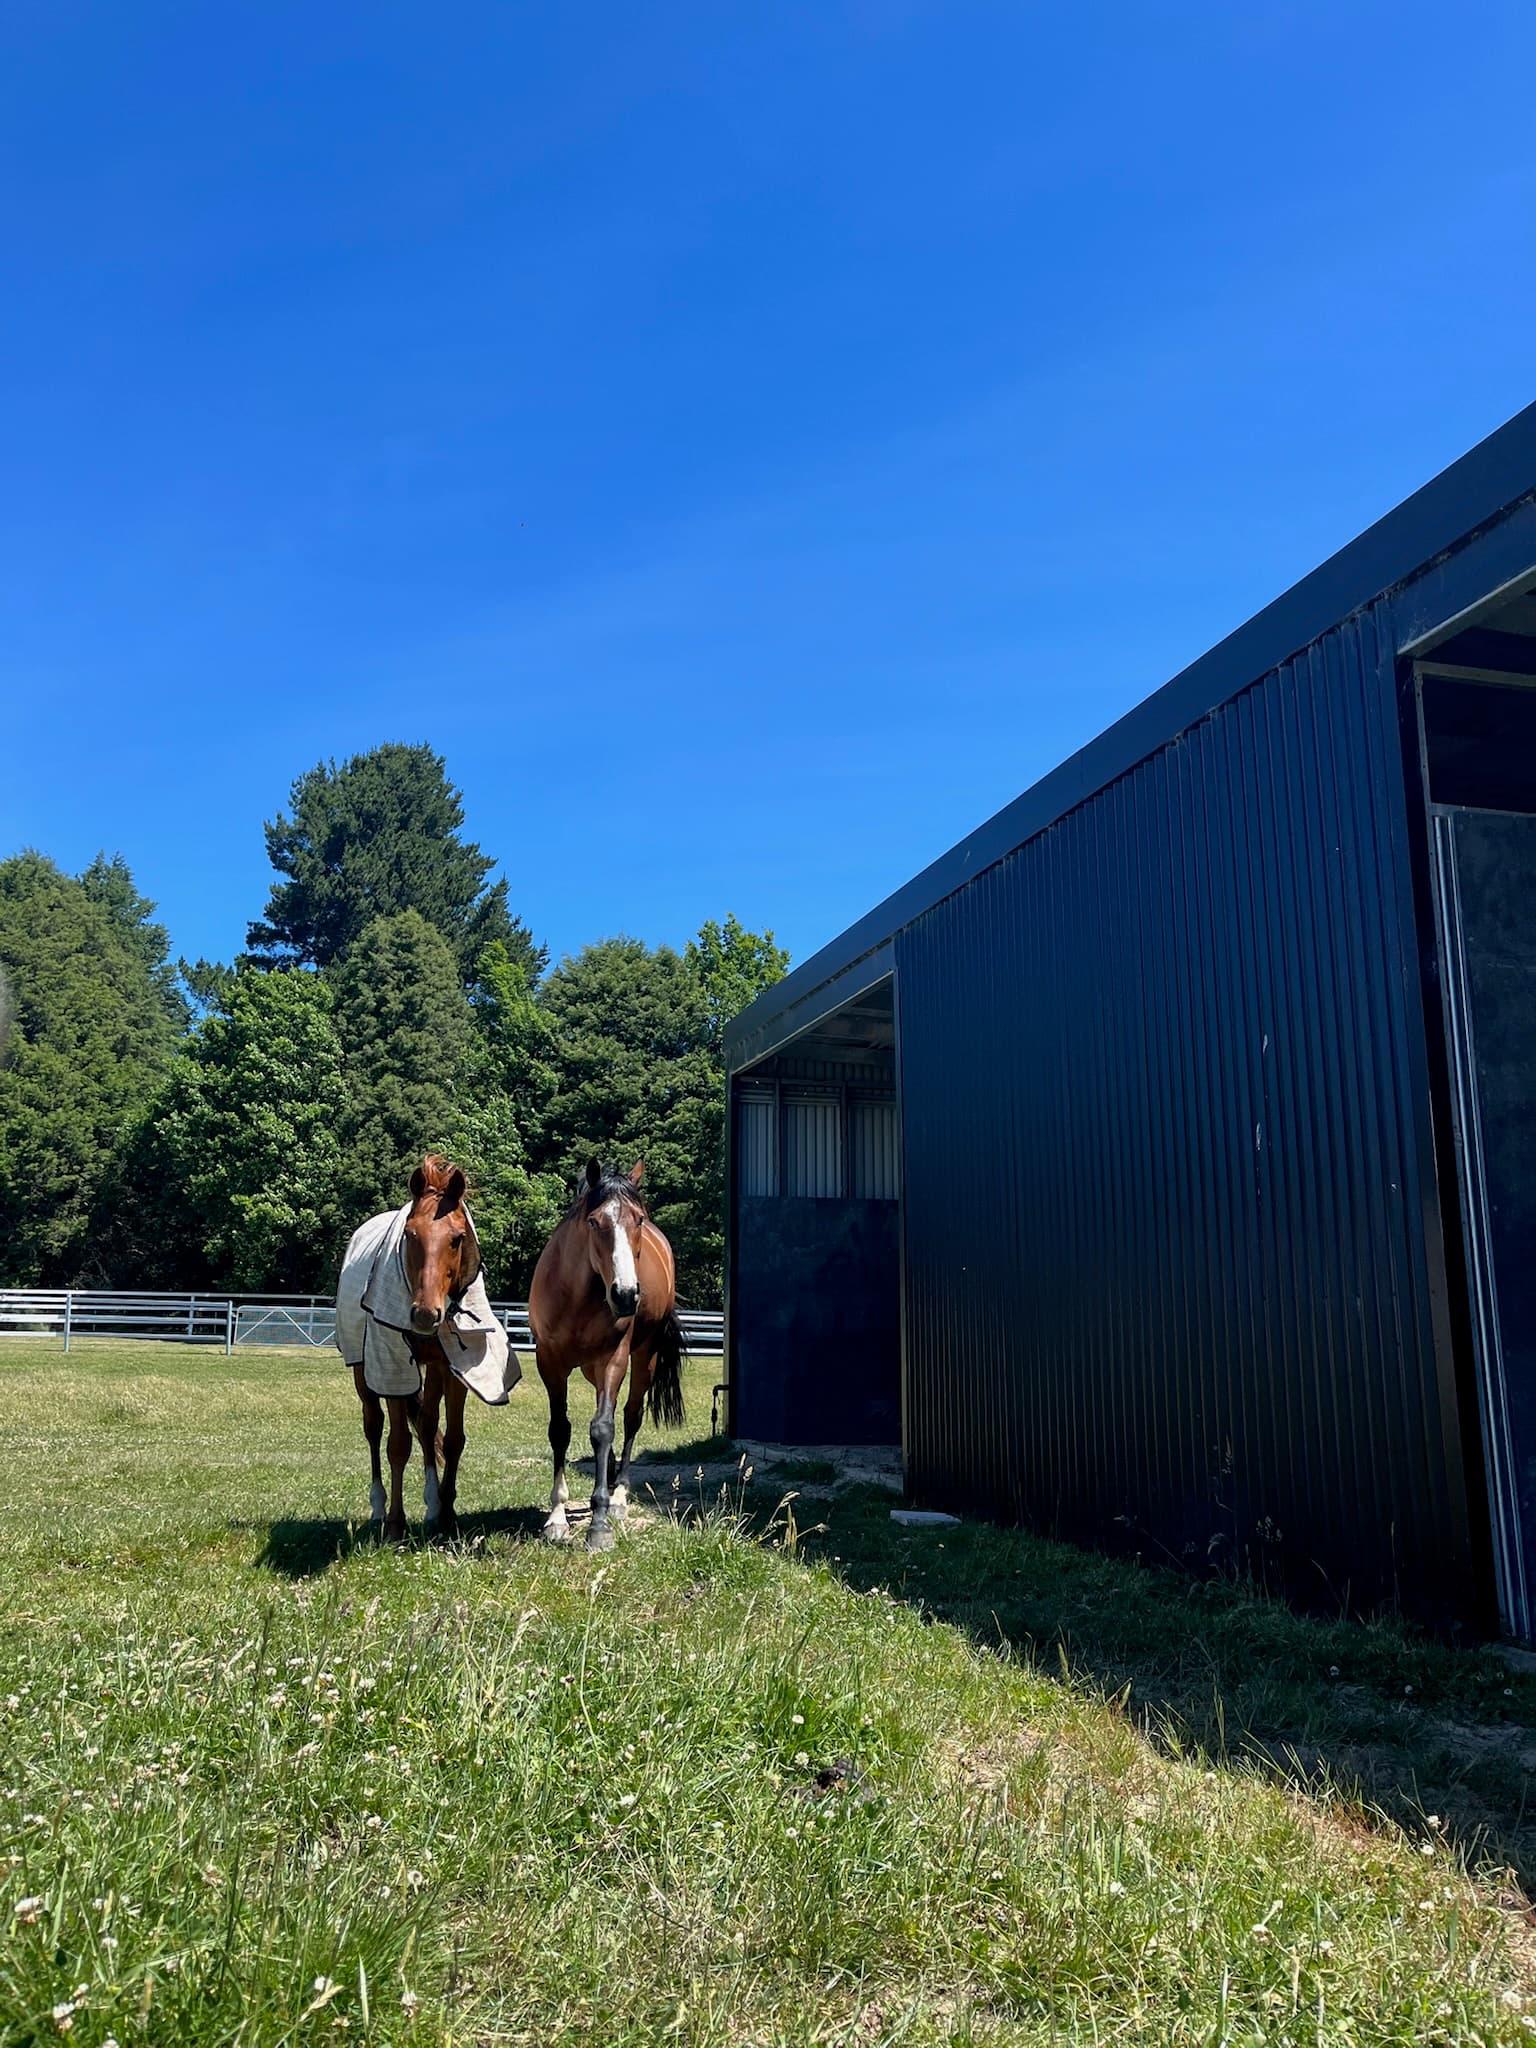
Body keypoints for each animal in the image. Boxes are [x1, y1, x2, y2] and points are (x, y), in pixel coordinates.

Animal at [337, 1155, 505, 1542]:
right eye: (410, 1234)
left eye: (458, 1238)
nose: (426, 1314)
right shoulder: (393, 1366)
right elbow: (398, 1445)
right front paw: (396, 1523)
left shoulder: (455, 1367)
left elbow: (453, 1439)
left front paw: (447, 1514)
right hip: (362, 1371)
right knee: (373, 1427)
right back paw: (379, 1506)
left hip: (433, 1370)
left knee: (428, 1426)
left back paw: (432, 1504)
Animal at [528, 1157, 686, 1551]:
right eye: (594, 1221)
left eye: (638, 1220)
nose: (626, 1294)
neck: (576, 1297)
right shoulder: (549, 1362)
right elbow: (560, 1430)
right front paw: (556, 1517)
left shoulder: (613, 1359)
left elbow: (603, 1428)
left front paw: (599, 1524)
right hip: (586, 1368)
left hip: (643, 1357)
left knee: (630, 1417)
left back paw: (618, 1495)